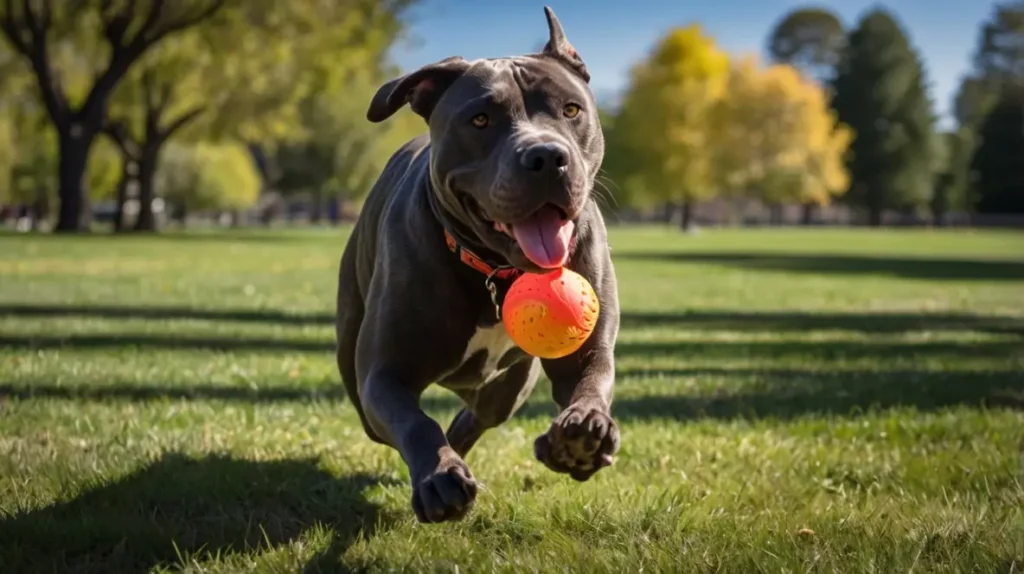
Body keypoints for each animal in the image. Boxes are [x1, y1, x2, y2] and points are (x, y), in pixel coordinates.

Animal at [339, 5, 618, 523]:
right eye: (481, 119)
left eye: (571, 110)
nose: (547, 156)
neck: (495, 268)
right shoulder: (382, 374)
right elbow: (417, 422)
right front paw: (439, 476)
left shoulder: (585, 350)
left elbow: (593, 382)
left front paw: (583, 433)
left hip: (512, 385)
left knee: (481, 412)